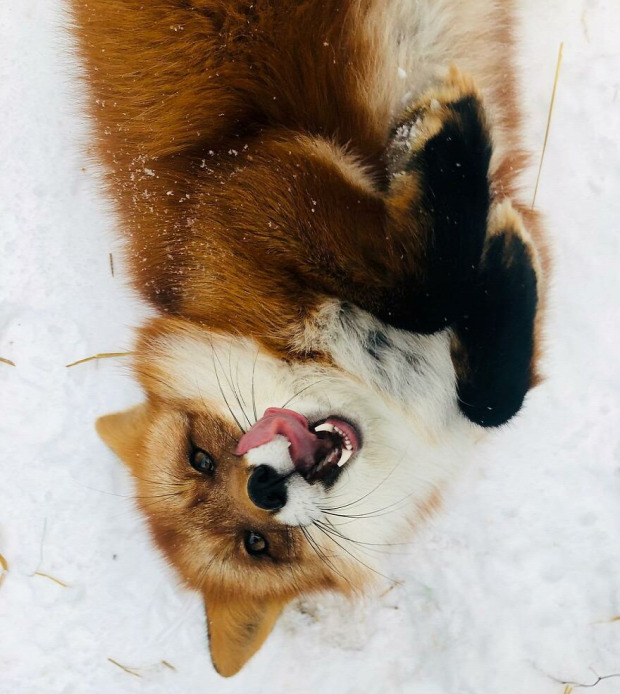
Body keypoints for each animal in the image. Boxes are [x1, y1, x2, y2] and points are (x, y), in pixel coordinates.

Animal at [70, 0, 548, 676]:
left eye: (200, 457)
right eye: (258, 543)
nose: (263, 488)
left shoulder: (245, 184)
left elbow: (433, 309)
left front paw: (450, 147)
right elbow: (483, 383)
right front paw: (500, 239)